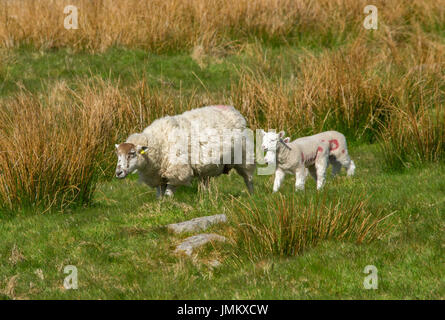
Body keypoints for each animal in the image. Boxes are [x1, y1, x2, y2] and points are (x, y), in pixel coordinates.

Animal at [112, 105, 255, 198]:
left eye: (132, 154)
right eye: (118, 155)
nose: (118, 173)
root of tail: (233, 110)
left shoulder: (178, 172)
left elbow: (168, 193)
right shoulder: (157, 176)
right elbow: (159, 195)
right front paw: (160, 207)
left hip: (244, 156)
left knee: (248, 178)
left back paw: (252, 196)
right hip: (206, 169)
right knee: (205, 182)